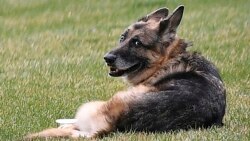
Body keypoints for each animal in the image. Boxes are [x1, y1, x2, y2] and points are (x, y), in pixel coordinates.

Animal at [25, 4, 227, 139]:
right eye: (122, 37)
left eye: (137, 42)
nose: (107, 58)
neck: (168, 59)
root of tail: (114, 123)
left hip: (95, 104)